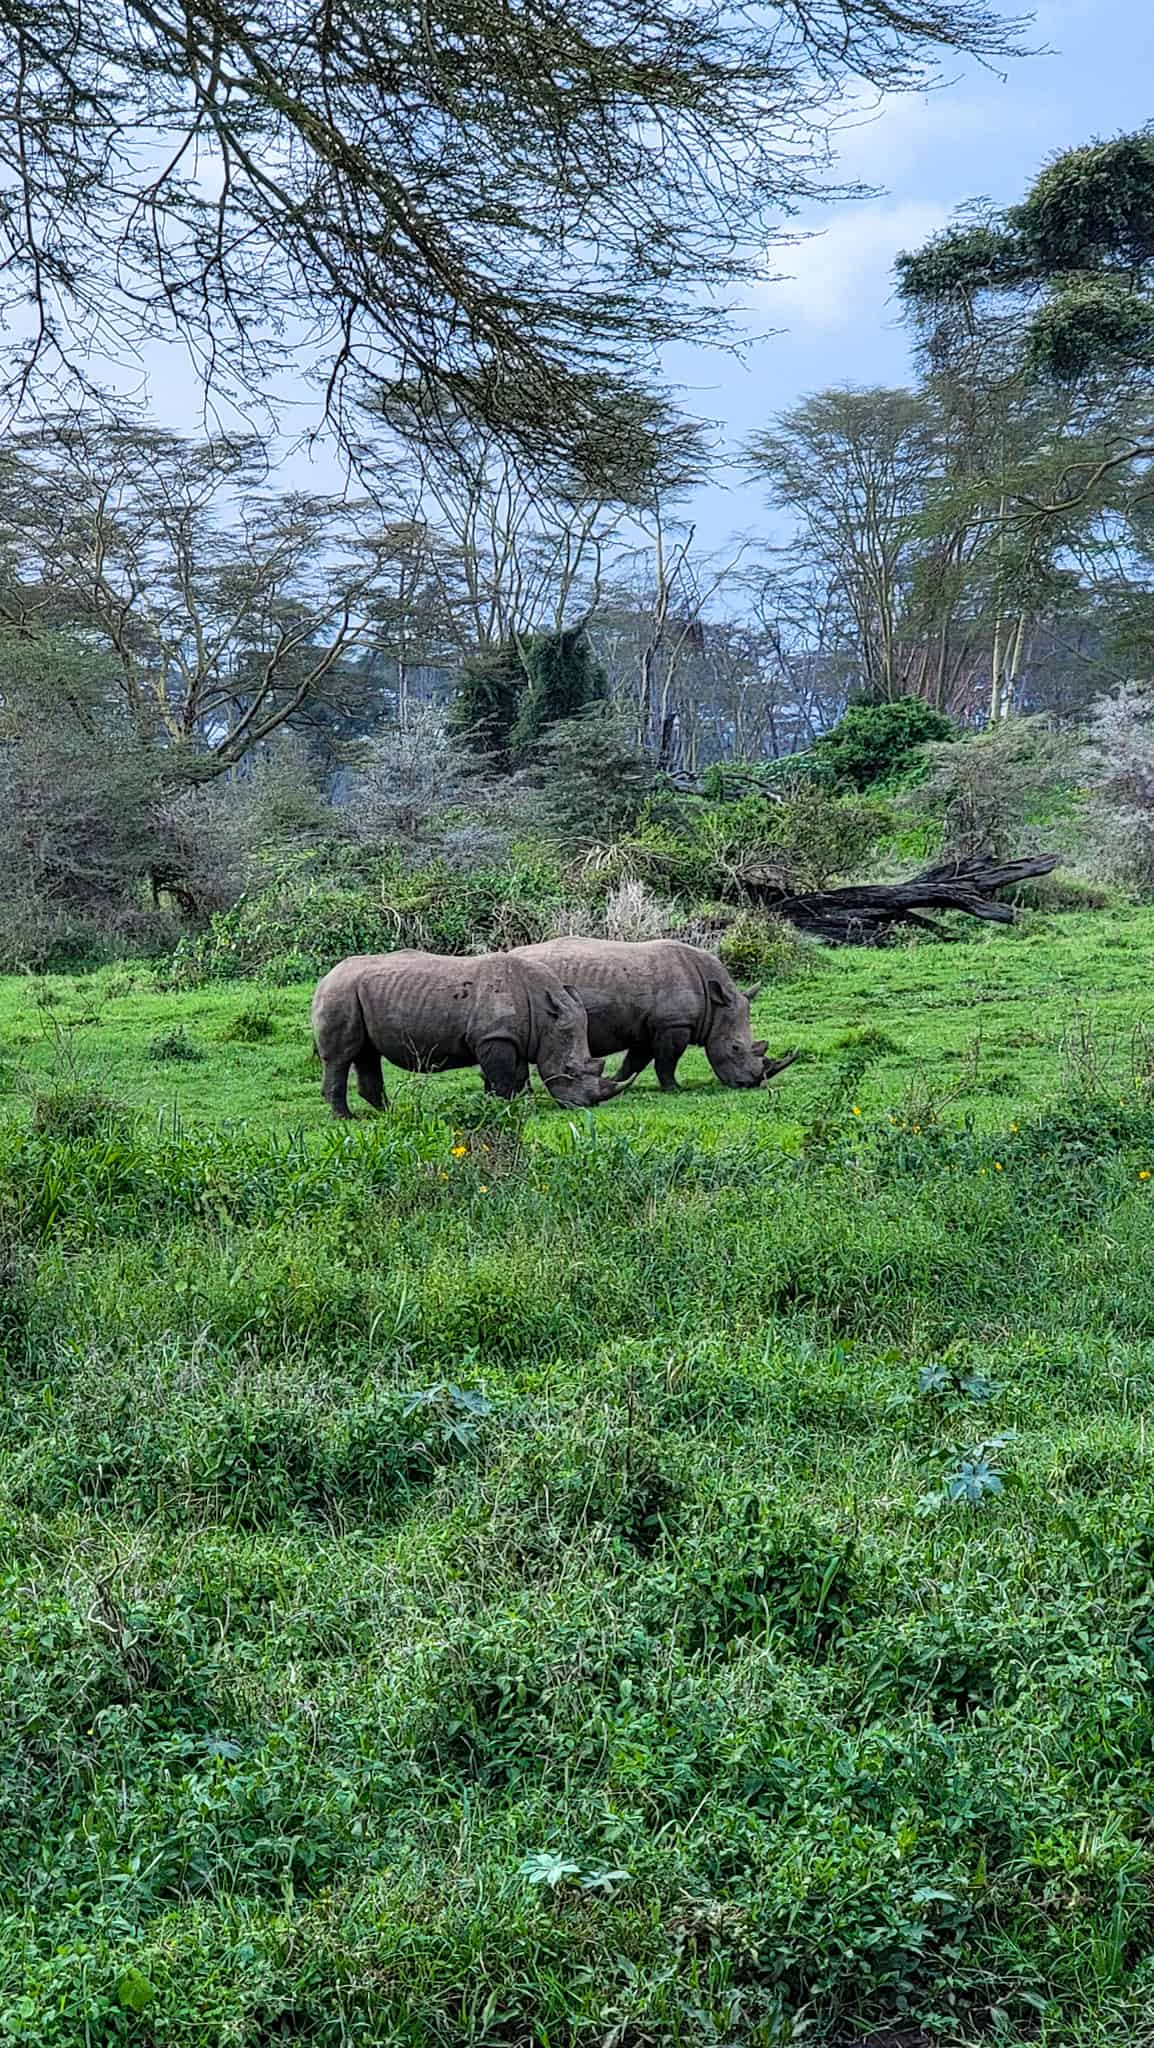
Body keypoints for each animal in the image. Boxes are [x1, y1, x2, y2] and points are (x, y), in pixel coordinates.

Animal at [311, 946, 631, 1122]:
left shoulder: (511, 1037)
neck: (546, 1014)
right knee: (341, 1057)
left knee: (367, 1054)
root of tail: (325, 977)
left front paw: (514, 1105)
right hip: (341, 992)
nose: (586, 1105)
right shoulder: (494, 1037)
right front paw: (506, 1106)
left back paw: (390, 1112)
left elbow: (514, 1075)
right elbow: (503, 1077)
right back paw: (346, 1118)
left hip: (354, 992)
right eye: (570, 1070)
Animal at [510, 937, 799, 1097]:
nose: (748, 1084)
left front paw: (614, 1081)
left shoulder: (647, 1026)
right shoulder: (673, 1024)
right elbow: (667, 1060)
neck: (715, 1005)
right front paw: (674, 1089)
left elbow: (635, 1061)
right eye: (736, 1048)